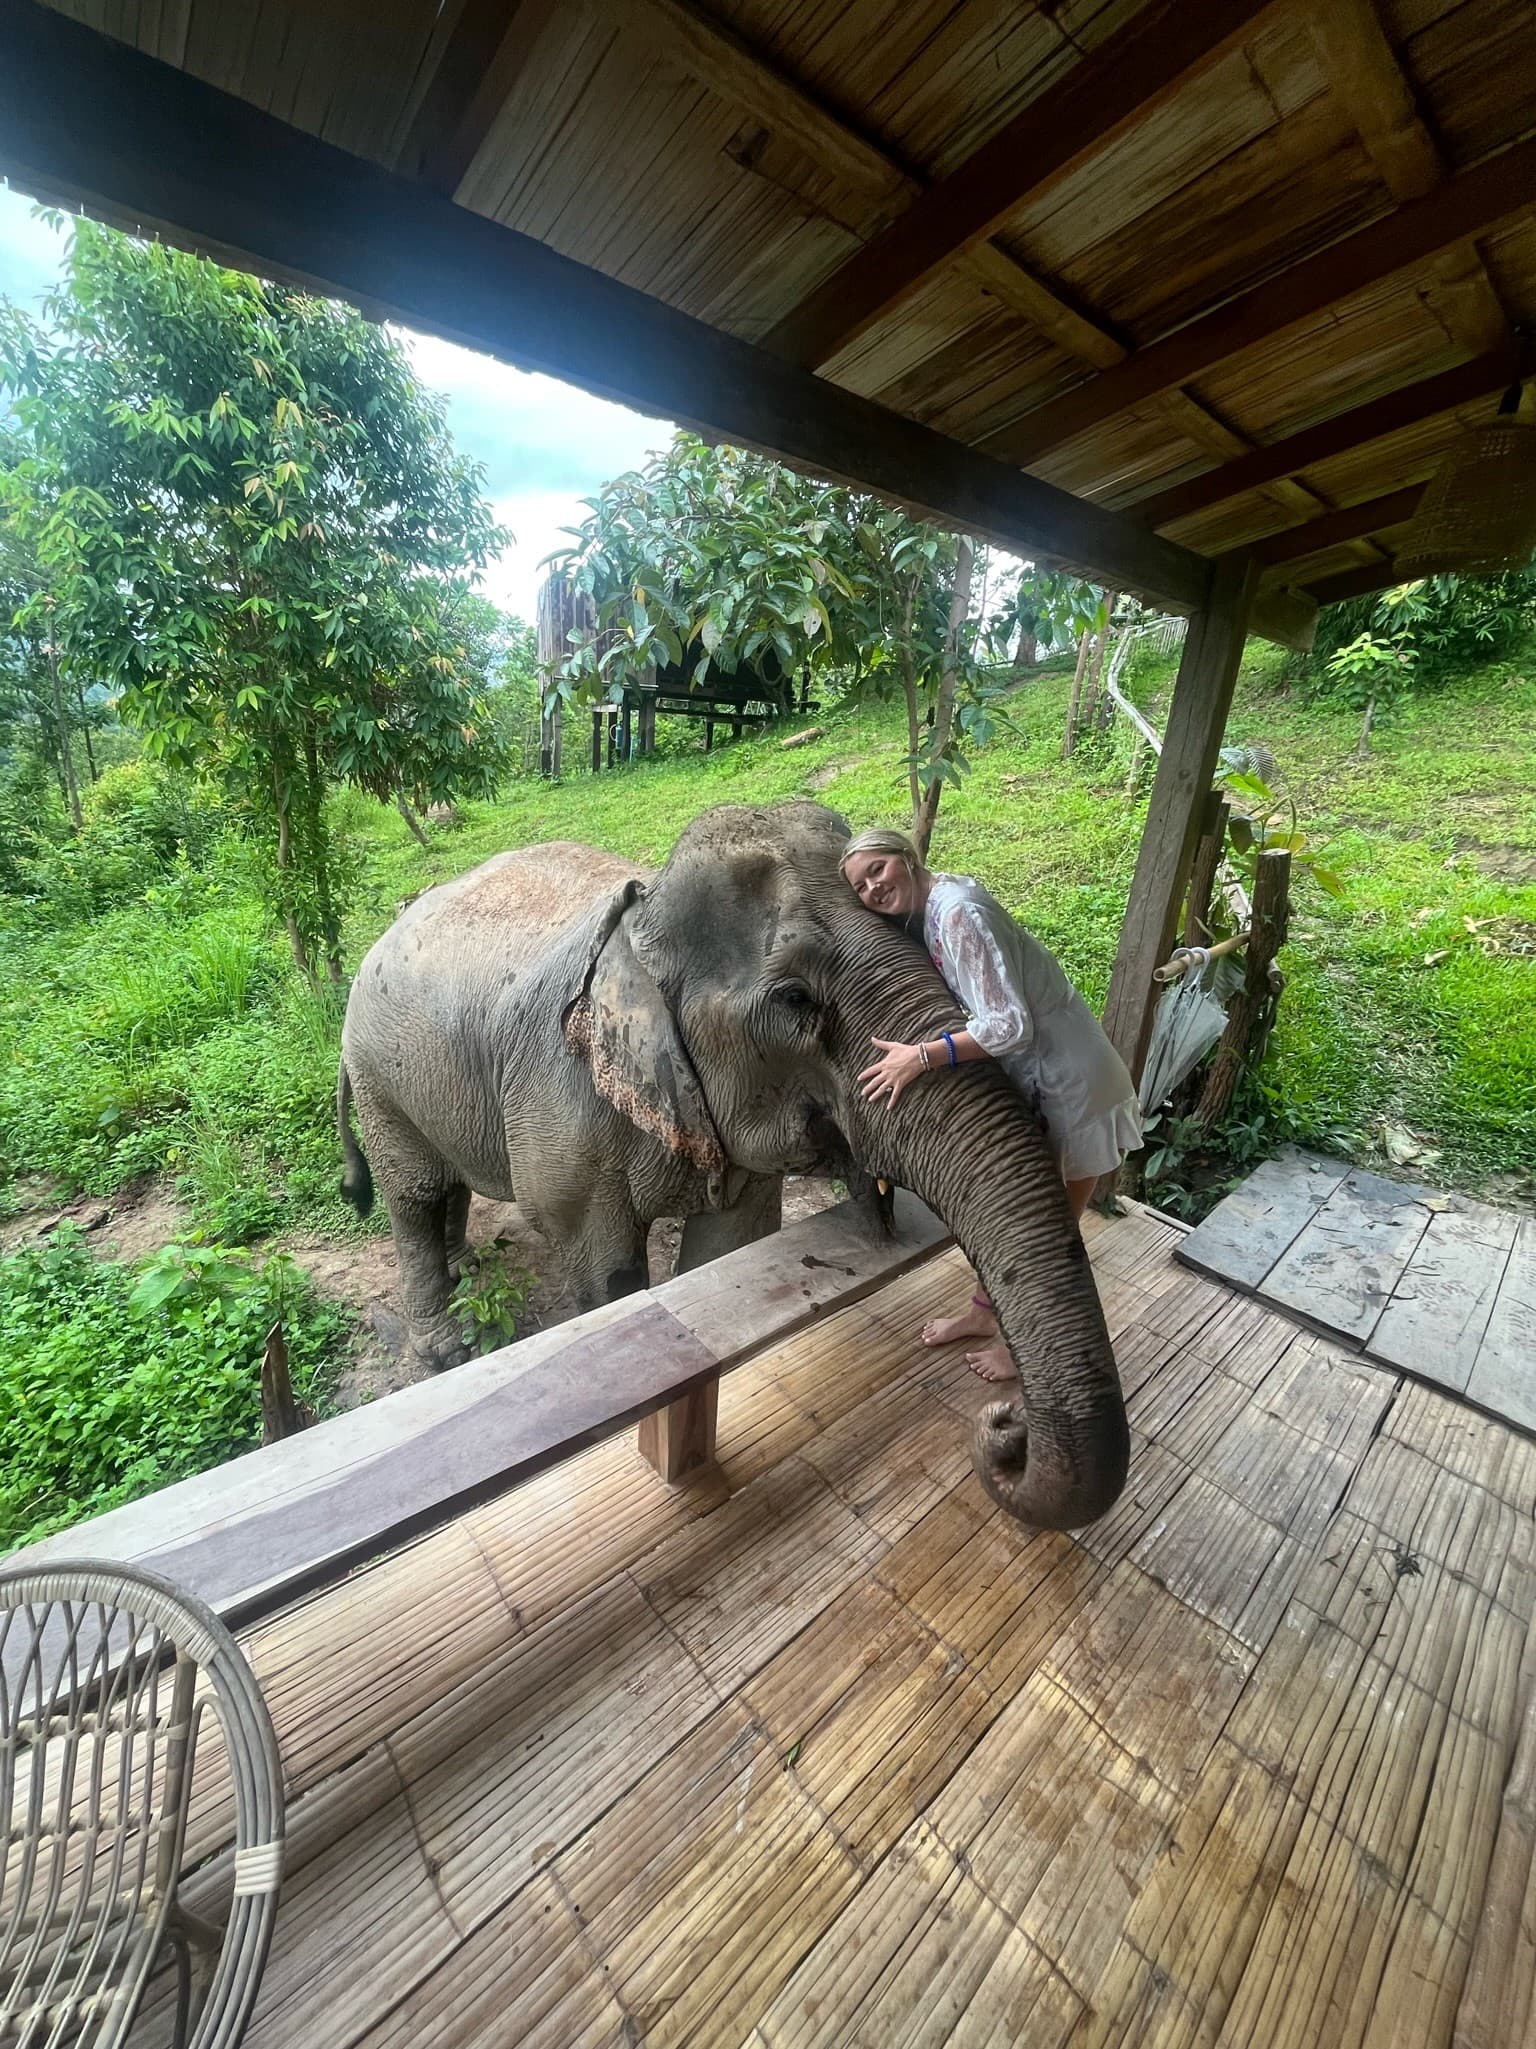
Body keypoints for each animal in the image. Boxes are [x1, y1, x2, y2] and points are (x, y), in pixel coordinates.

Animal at [336, 800, 1128, 1529]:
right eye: (795, 999)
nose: (1005, 1425)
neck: (642, 918)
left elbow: (729, 1243)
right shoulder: (562, 1105)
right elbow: (607, 1272)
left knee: (447, 1185)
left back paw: (466, 1266)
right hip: (379, 1077)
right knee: (413, 1191)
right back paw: (443, 1348)